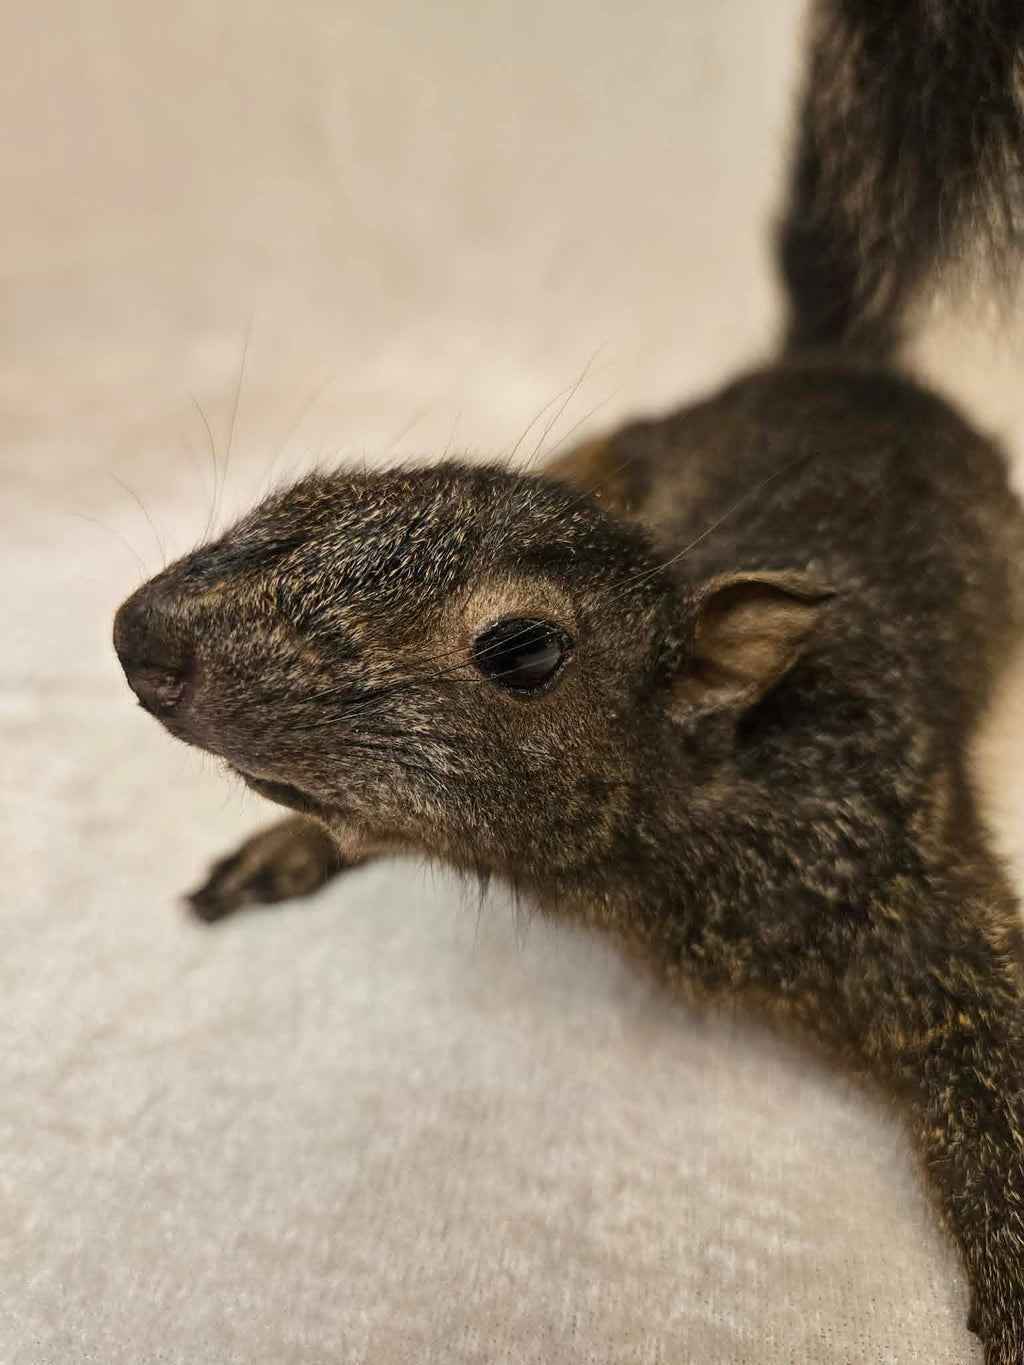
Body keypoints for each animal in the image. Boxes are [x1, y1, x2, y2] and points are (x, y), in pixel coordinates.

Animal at [114, 2, 1024, 1360]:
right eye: (303, 494)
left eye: (524, 650)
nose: (140, 633)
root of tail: (838, 372)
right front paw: (295, 839)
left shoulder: (889, 868)